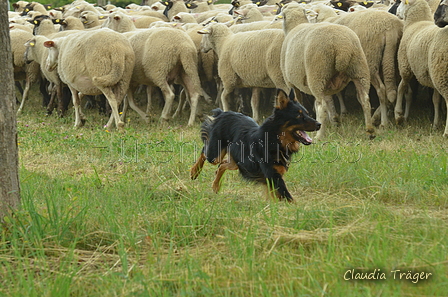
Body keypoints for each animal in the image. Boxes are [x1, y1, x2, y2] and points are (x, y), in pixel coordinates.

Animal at [191, 89, 320, 201]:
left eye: (307, 113)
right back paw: (194, 171)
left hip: (237, 162)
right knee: (205, 151)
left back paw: (216, 186)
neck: (275, 140)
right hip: (215, 155)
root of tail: (223, 113)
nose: (319, 124)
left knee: (222, 165)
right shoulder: (274, 176)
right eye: (298, 116)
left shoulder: (273, 177)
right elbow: (288, 198)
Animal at [282, 2, 372, 139]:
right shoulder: (328, 85)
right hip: (359, 68)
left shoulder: (291, 83)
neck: (295, 26)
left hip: (317, 73)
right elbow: (330, 102)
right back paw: (370, 131)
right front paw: (334, 121)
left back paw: (319, 136)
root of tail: (342, 47)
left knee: (321, 106)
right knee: (365, 99)